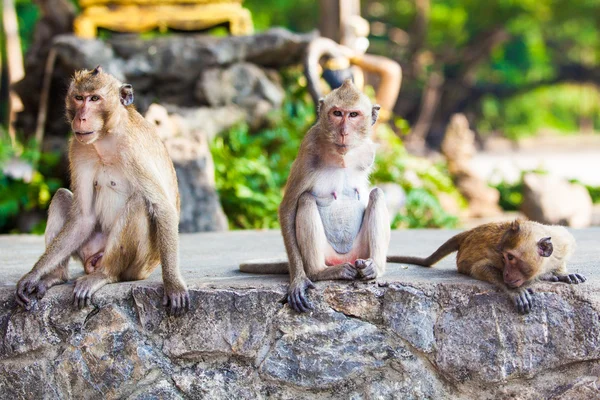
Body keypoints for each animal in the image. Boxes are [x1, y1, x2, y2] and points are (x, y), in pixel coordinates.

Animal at [14, 66, 190, 316]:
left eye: (95, 99)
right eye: (79, 98)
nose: (81, 117)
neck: (107, 136)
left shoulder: (133, 150)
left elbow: (162, 207)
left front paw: (173, 285)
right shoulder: (78, 148)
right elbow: (83, 217)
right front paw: (33, 275)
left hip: (137, 266)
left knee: (139, 202)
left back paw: (105, 275)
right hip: (90, 249)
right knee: (62, 197)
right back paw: (54, 277)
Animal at [241, 79, 392, 312]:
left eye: (353, 115)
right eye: (337, 113)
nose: (344, 131)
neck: (341, 157)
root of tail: (343, 259)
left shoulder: (368, 150)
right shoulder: (307, 149)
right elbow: (288, 207)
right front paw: (299, 279)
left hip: (360, 251)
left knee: (377, 195)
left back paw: (373, 267)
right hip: (327, 254)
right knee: (305, 200)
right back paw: (319, 271)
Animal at [384, 220, 584, 314]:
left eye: (511, 257)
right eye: (504, 257)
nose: (506, 275)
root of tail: (468, 233)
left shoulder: (563, 241)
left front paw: (562, 274)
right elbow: (480, 268)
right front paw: (514, 291)